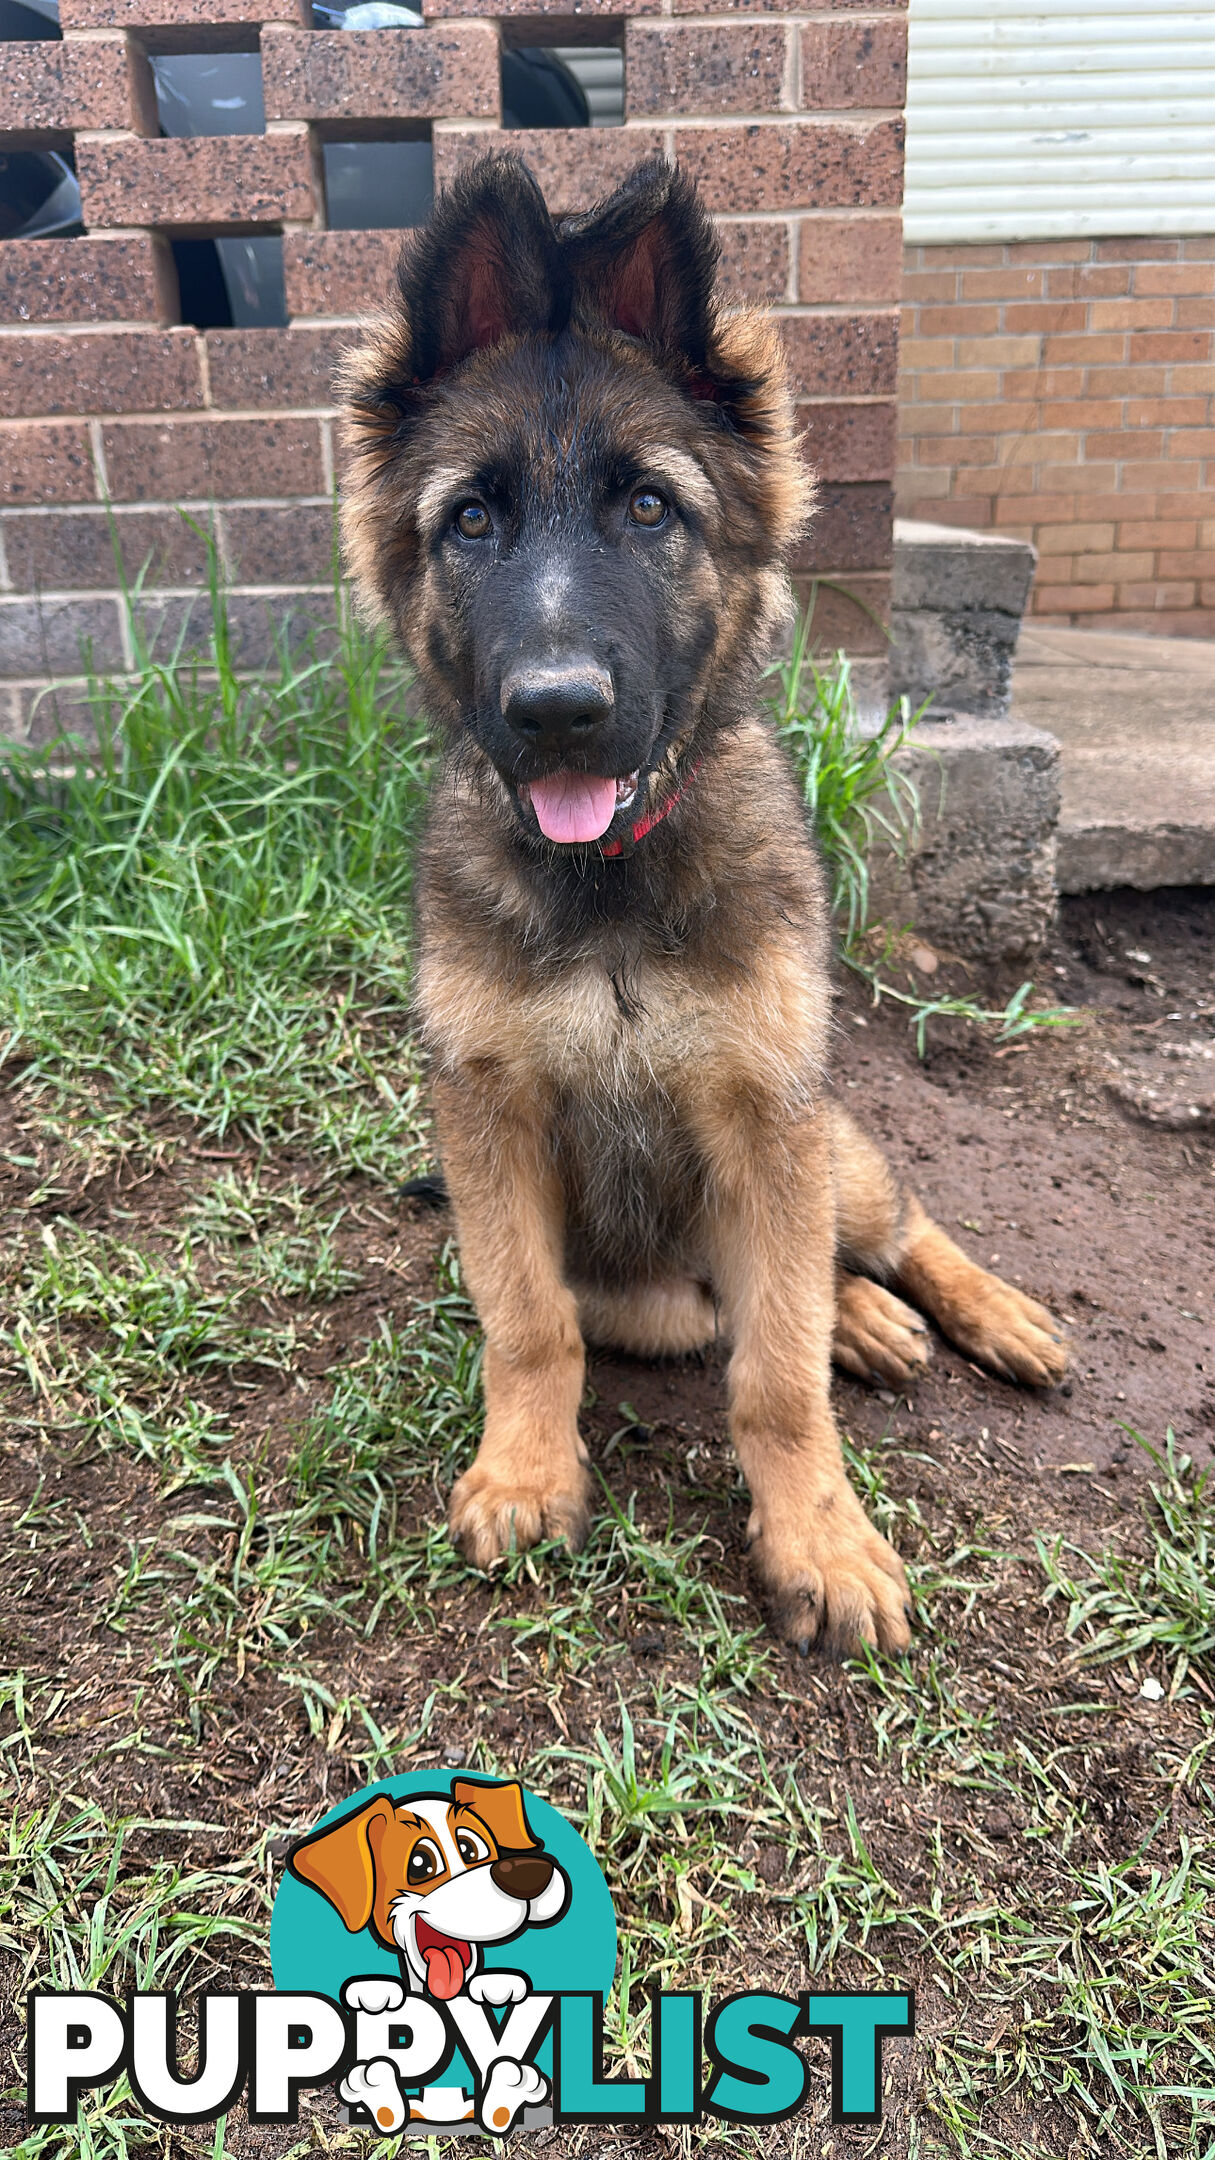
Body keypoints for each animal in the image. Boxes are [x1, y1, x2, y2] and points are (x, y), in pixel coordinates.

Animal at [337, 159, 1059, 1658]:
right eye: (471, 520)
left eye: (648, 509)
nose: (557, 712)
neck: (611, 884)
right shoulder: (491, 1120)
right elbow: (530, 1326)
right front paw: (524, 1470)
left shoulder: (763, 1115)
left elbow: (777, 1383)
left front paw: (821, 1539)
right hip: (662, 1291)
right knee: (763, 1294)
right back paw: (864, 1322)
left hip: (827, 1146)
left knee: (888, 1232)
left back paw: (977, 1313)